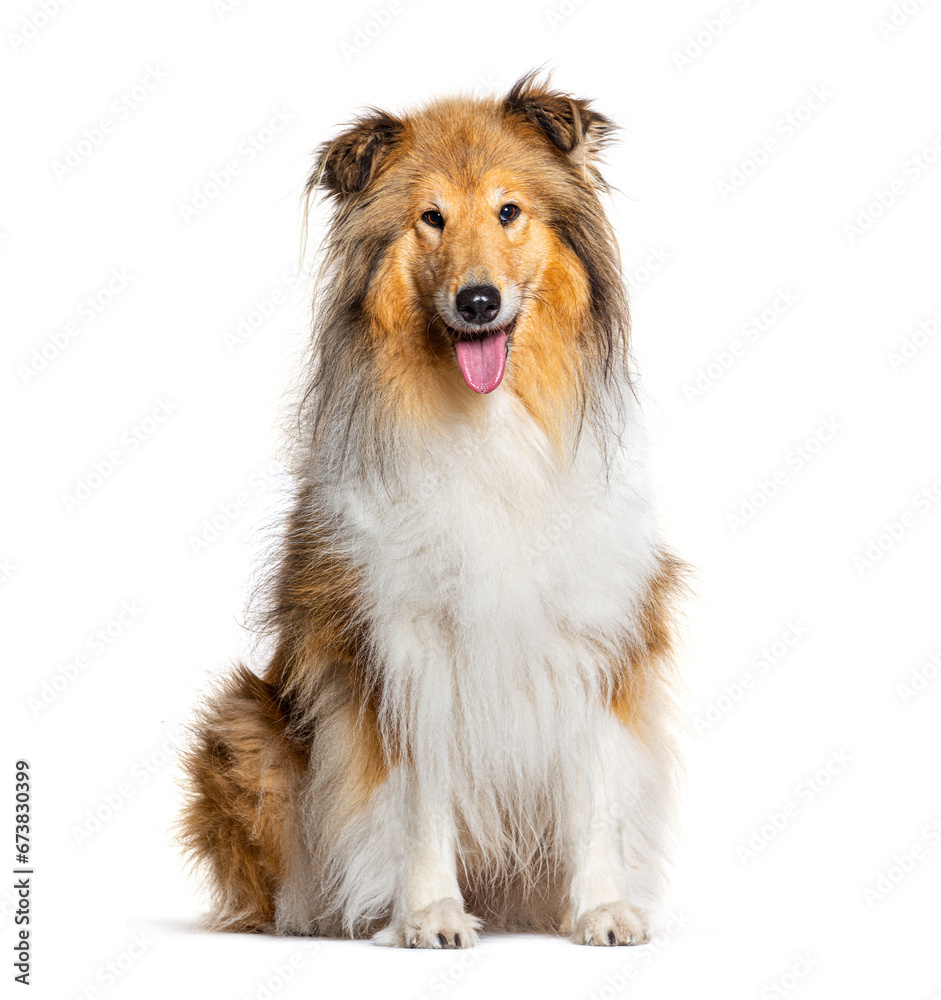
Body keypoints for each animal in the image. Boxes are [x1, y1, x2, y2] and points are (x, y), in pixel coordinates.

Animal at [180, 74, 688, 948]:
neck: (487, 425)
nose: (477, 301)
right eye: (431, 218)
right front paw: (428, 914)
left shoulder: (591, 628)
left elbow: (593, 787)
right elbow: (419, 794)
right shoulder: (401, 641)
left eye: (508, 211)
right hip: (244, 728)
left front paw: (600, 909)